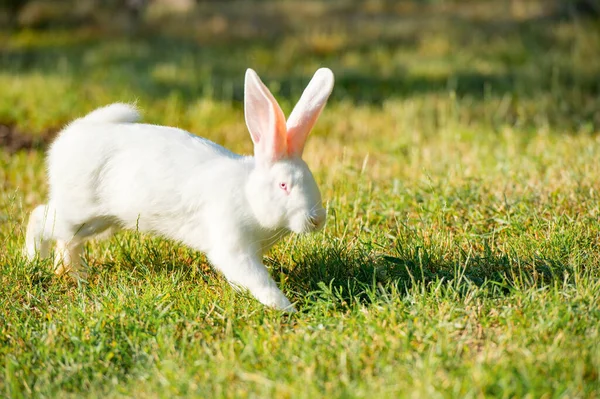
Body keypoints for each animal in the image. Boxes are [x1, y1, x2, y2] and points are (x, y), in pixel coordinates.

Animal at [25, 68, 336, 312]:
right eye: (284, 185)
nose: (317, 219)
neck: (248, 195)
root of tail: (71, 137)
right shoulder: (233, 249)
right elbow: (258, 282)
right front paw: (287, 309)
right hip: (75, 212)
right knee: (39, 218)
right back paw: (33, 261)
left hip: (97, 222)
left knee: (68, 242)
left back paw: (75, 275)